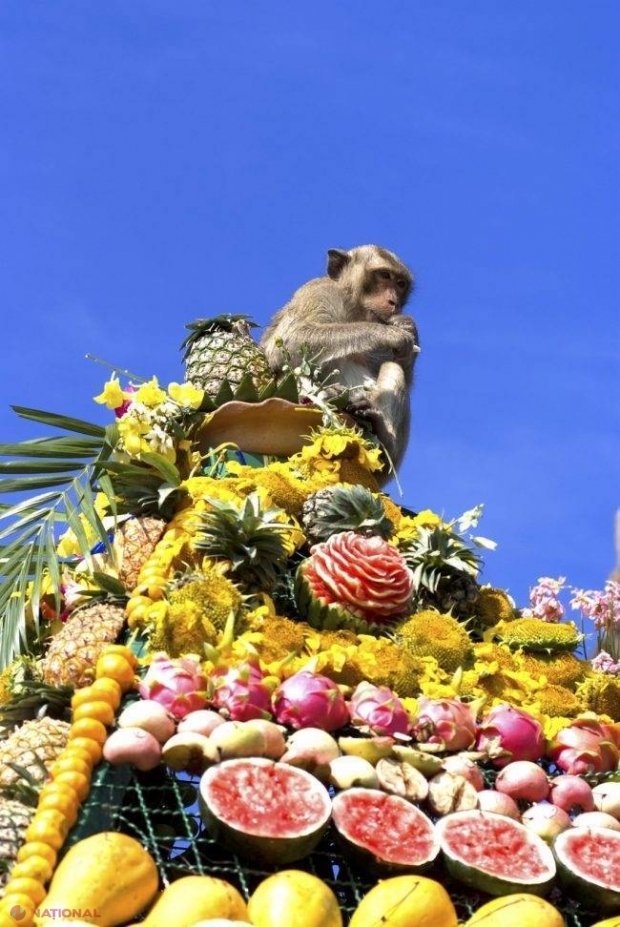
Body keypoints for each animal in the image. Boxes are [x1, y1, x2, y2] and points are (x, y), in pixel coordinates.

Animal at [260, 245, 418, 478]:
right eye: (384, 275)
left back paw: (382, 435)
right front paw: (390, 333)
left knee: (392, 367)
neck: (353, 308)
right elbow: (289, 342)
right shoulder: (318, 291)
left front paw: (407, 326)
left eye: (400, 284)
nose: (394, 303)